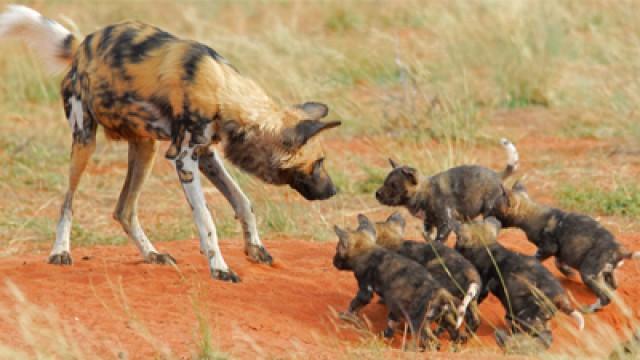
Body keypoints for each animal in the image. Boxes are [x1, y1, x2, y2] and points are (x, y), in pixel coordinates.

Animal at [0, 4, 342, 282]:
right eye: (319, 163)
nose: (334, 191)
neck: (224, 92)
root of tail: (83, 44)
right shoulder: (185, 159)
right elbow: (206, 219)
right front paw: (220, 268)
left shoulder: (206, 154)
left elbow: (243, 202)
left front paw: (254, 248)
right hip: (85, 141)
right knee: (67, 203)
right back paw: (60, 252)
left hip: (145, 149)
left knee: (124, 209)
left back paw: (152, 254)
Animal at [330, 215, 460, 350]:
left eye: (337, 250)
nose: (333, 261)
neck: (366, 250)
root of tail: (442, 295)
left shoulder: (365, 291)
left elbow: (353, 305)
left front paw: (345, 316)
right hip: (440, 318)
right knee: (449, 335)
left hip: (417, 322)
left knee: (428, 341)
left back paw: (409, 349)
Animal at [376, 139, 520, 243]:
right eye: (384, 182)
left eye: (393, 185)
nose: (376, 194)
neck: (423, 194)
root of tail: (497, 175)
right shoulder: (428, 224)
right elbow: (427, 237)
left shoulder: (446, 224)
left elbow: (438, 241)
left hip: (488, 210)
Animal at [452, 215, 584, 350]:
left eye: (457, 240)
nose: (453, 249)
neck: (486, 246)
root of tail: (561, 298)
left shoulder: (481, 289)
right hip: (534, 317)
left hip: (528, 318)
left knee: (544, 336)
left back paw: (507, 341)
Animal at [500, 180, 640, 312]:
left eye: (497, 209)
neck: (532, 214)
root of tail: (620, 249)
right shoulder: (561, 252)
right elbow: (559, 263)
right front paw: (569, 274)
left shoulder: (549, 247)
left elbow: (536, 258)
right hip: (606, 271)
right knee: (613, 288)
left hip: (588, 273)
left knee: (605, 297)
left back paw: (589, 309)